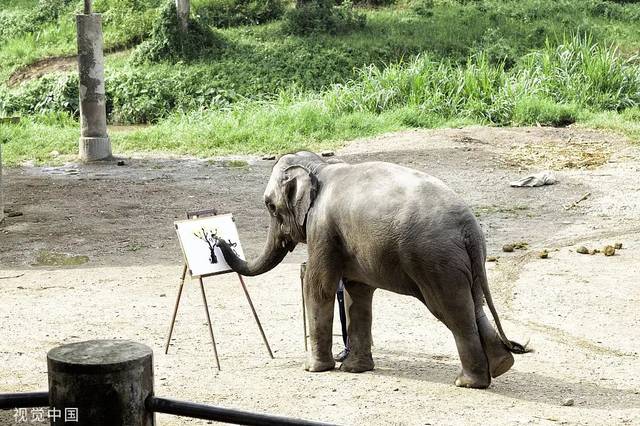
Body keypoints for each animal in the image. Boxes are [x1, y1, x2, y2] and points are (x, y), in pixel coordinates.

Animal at [218, 151, 528, 390]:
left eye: (270, 206)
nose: (219, 240)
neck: (321, 167)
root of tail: (469, 228)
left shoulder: (322, 229)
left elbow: (320, 287)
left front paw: (314, 369)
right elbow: (357, 292)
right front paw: (355, 369)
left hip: (435, 260)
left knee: (452, 311)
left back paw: (466, 382)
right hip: (464, 263)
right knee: (473, 306)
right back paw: (501, 365)